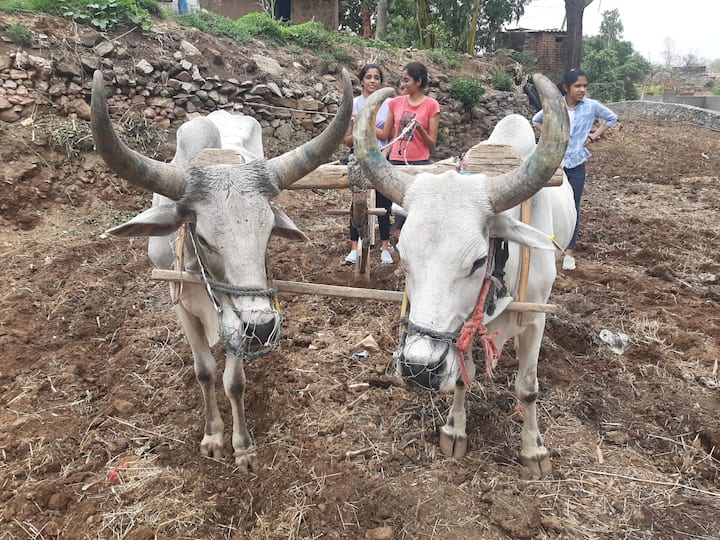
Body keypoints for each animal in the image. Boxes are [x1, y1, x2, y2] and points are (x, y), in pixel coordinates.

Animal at [91, 69, 353, 470]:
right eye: (203, 236)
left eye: (268, 232)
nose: (263, 328)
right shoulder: (181, 304)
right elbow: (204, 371)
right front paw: (213, 437)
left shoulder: (237, 319)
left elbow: (234, 382)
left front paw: (242, 446)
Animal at [353, 74, 575, 478]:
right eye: (404, 257)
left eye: (478, 260)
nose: (419, 369)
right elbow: (460, 375)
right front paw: (455, 431)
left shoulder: (535, 318)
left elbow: (528, 387)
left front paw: (533, 451)